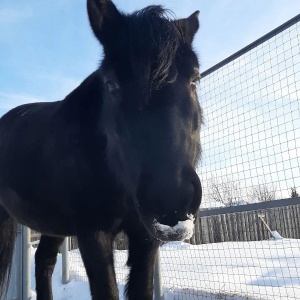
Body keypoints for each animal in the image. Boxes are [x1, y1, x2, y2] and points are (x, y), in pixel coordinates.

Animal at [0, 1, 203, 298]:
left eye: (194, 79)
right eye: (111, 84)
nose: (171, 202)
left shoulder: (145, 235)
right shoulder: (92, 232)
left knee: (44, 260)